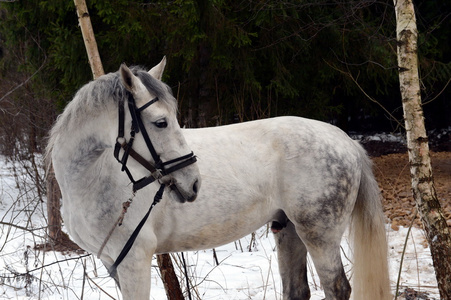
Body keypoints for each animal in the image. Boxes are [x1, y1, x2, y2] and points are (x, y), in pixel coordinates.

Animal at [46, 57, 392, 298]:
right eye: (160, 122)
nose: (193, 183)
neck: (94, 182)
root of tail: (345, 140)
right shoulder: (113, 263)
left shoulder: (135, 261)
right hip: (289, 229)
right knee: (297, 290)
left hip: (320, 234)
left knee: (337, 288)